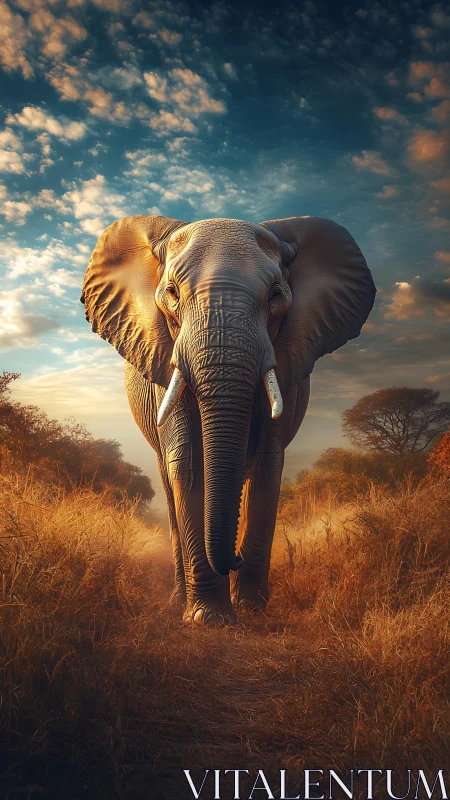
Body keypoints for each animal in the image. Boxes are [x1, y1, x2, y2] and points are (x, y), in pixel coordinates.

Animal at [81, 214, 375, 625]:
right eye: (171, 293)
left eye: (275, 297)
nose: (232, 559)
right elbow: (187, 462)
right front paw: (208, 618)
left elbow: (268, 467)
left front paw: (251, 609)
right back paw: (178, 599)